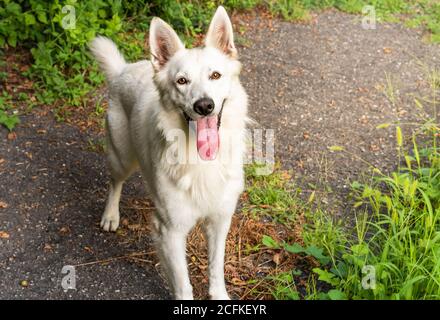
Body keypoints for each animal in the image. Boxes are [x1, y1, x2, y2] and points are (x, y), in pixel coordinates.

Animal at [89, 5, 248, 300]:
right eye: (182, 81)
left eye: (216, 75)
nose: (204, 106)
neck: (200, 160)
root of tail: (123, 70)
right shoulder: (171, 232)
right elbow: (183, 284)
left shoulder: (219, 220)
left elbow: (216, 268)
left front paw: (219, 295)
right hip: (122, 158)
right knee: (115, 182)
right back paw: (110, 215)